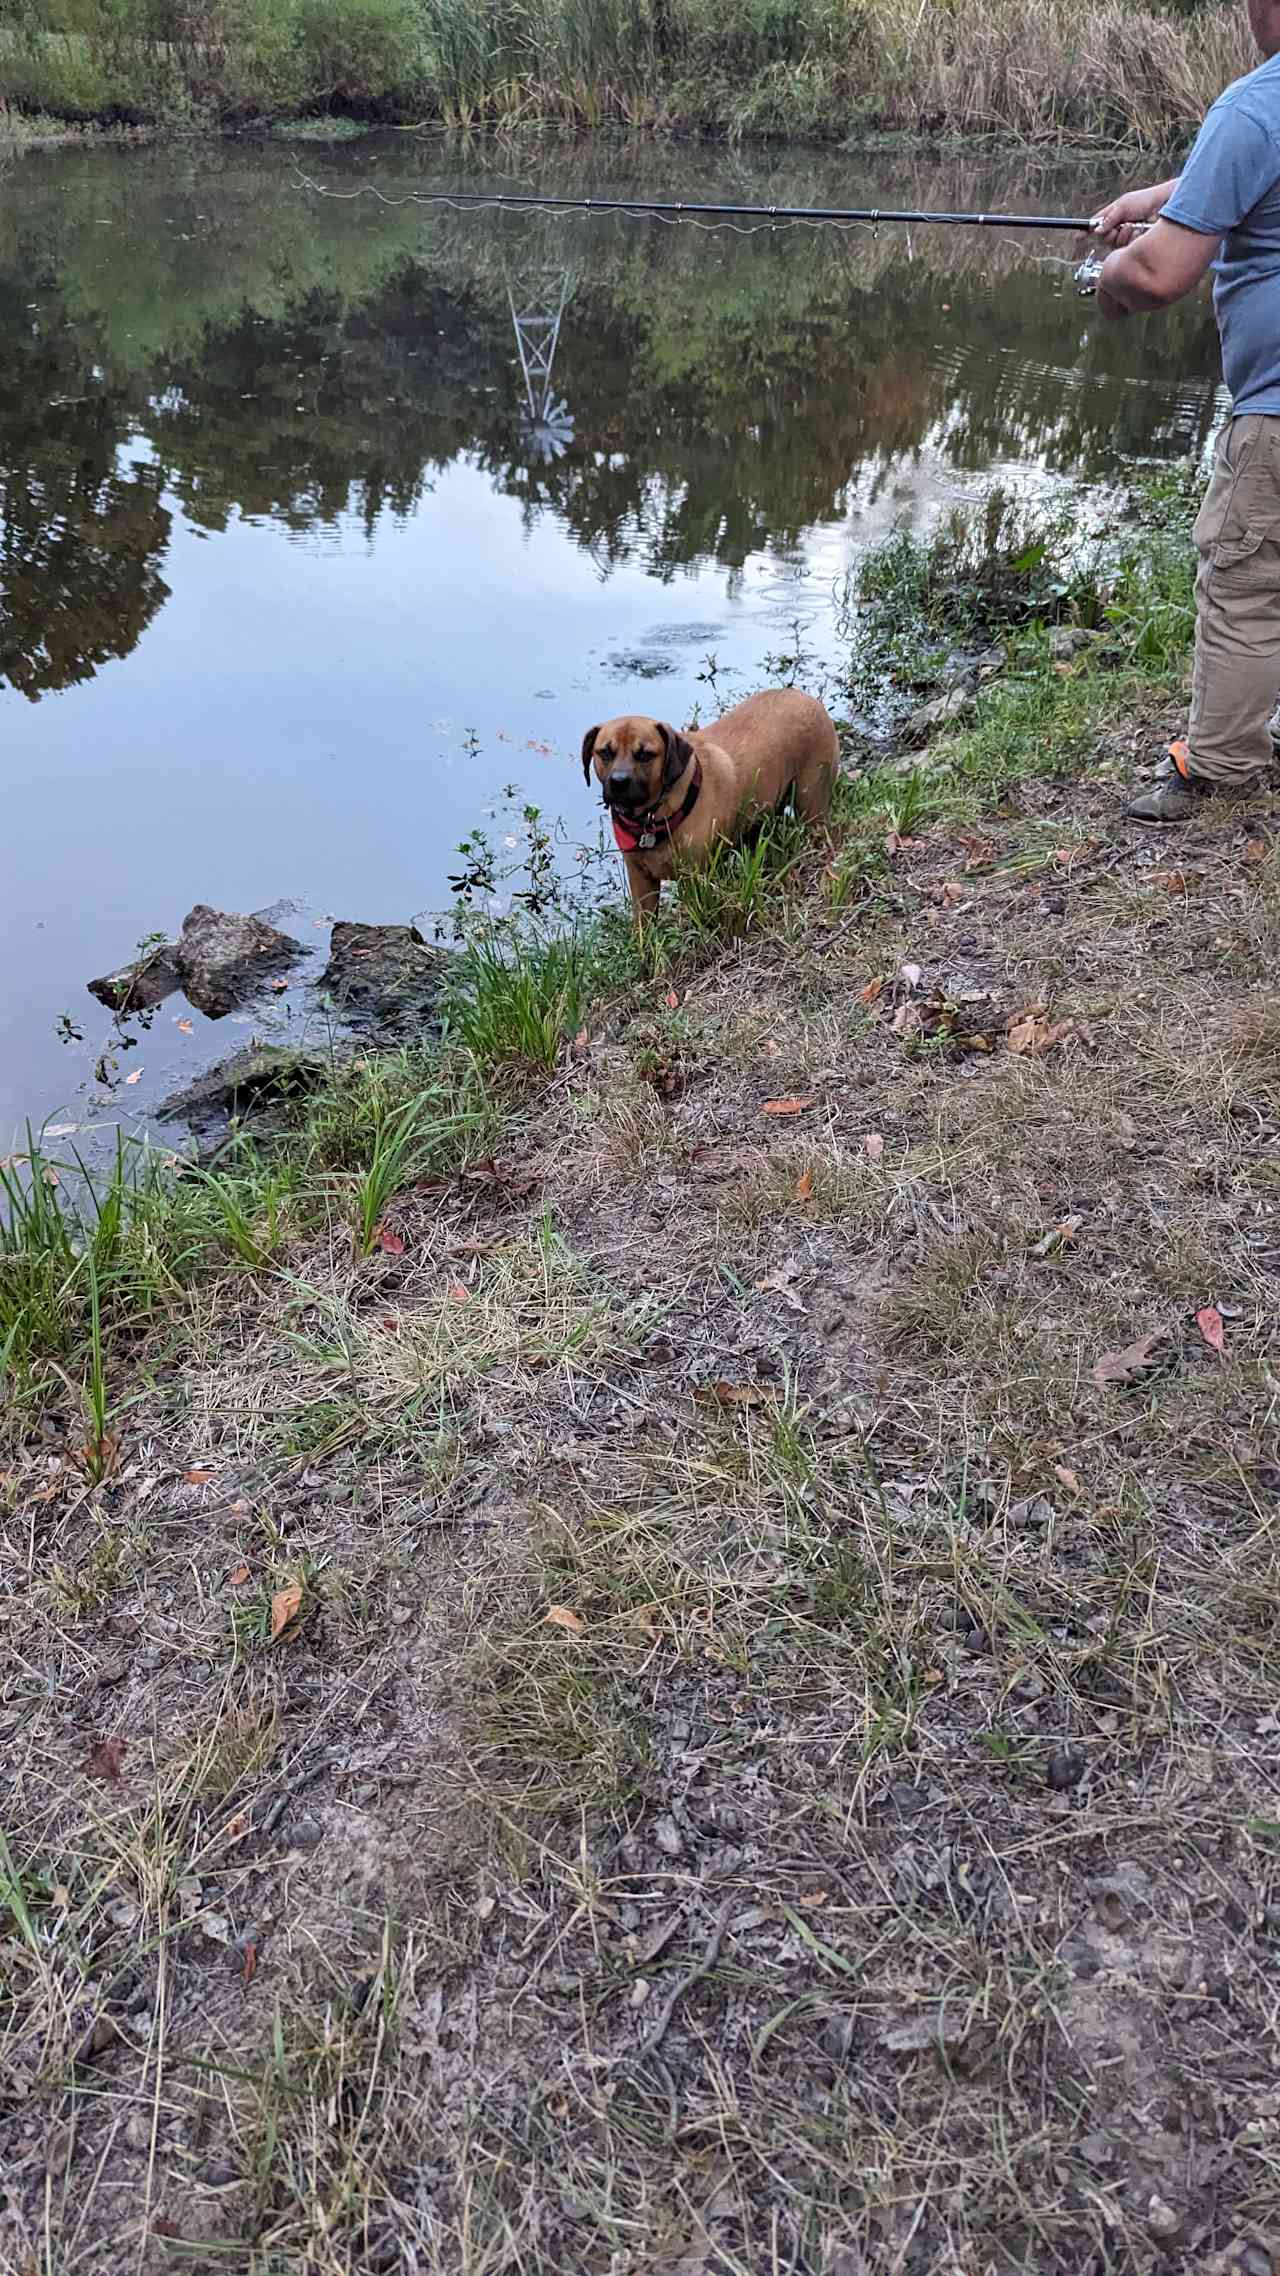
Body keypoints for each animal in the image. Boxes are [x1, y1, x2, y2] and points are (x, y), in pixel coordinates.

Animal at [578, 682, 838, 924]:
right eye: (605, 752)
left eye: (645, 755)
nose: (619, 782)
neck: (655, 818)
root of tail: (807, 698)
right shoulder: (641, 879)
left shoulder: (695, 877)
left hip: (811, 801)